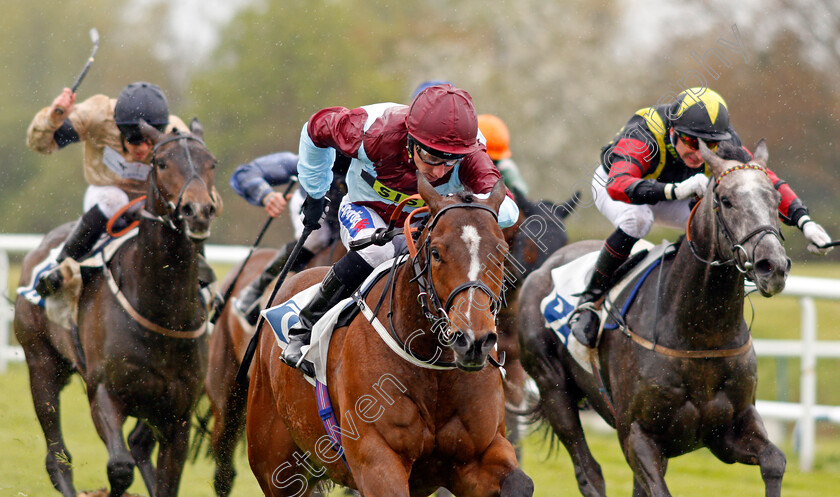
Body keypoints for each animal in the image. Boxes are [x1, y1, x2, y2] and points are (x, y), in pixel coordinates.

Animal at [14, 119, 218, 496]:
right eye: (162, 163)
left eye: (211, 162)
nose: (197, 211)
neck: (161, 312)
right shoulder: (105, 394)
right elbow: (119, 469)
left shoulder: (178, 415)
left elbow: (165, 481)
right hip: (41, 363)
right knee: (58, 458)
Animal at [244, 177, 532, 496]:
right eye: (436, 253)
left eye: (502, 252)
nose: (473, 340)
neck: (431, 366)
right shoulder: (376, 460)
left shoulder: (476, 455)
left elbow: (520, 483)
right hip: (276, 465)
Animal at [520, 140, 788, 496]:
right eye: (726, 200)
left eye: (775, 199)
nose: (772, 266)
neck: (701, 335)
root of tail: (543, 268)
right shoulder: (638, 434)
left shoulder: (729, 430)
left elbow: (774, 461)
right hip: (553, 388)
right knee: (589, 472)